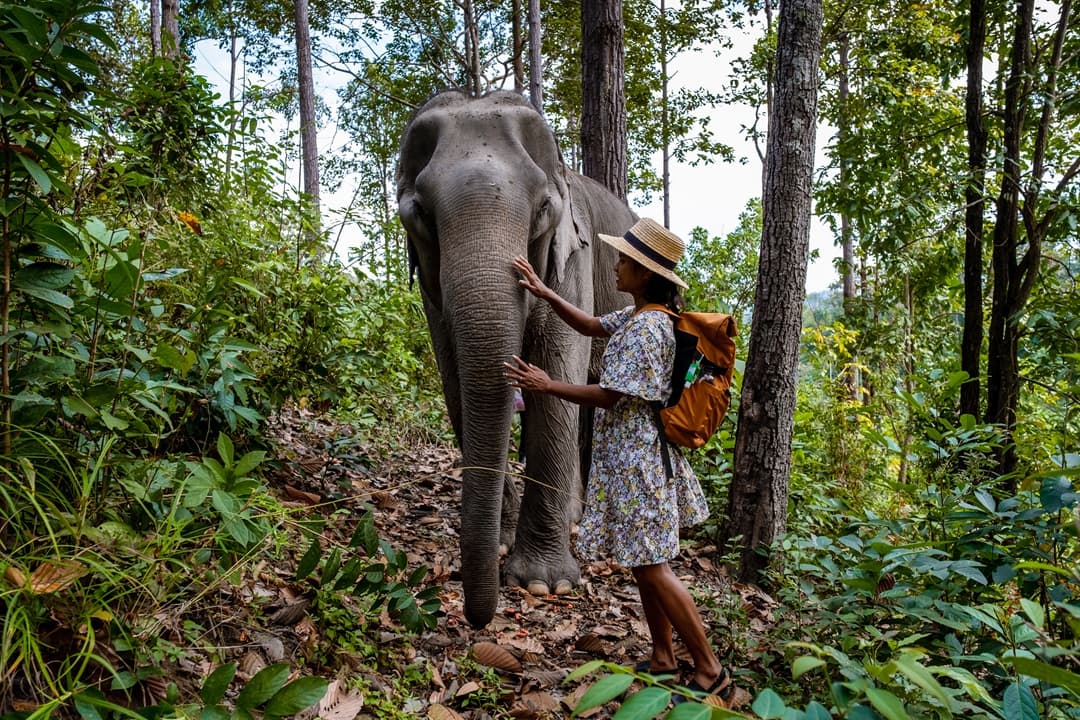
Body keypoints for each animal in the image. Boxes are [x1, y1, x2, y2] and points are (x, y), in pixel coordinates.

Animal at [396, 90, 636, 628]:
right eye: (418, 213)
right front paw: (504, 547)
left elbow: (558, 376)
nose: (478, 618)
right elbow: (457, 383)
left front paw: (545, 584)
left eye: (544, 208)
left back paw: (576, 520)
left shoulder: (572, 262)